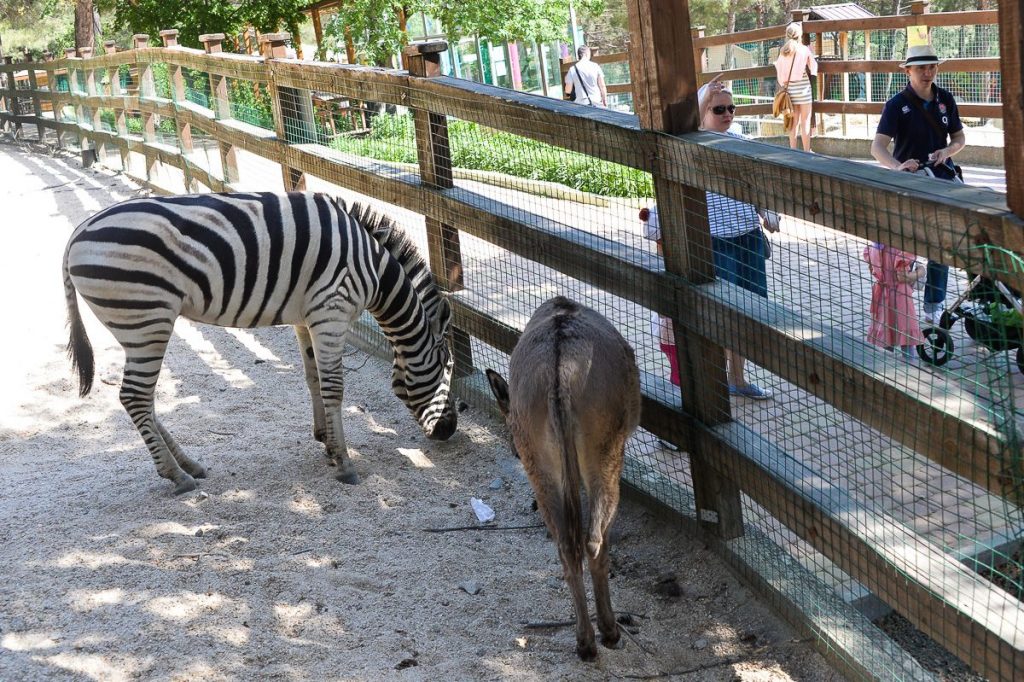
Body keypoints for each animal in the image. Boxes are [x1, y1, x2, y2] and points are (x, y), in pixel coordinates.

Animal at [65, 191, 460, 493]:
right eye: (448, 368)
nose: (450, 431)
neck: (376, 271)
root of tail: (76, 234)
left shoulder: (307, 318)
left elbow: (313, 378)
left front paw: (325, 440)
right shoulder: (331, 311)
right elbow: (334, 387)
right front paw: (345, 462)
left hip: (137, 327)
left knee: (142, 400)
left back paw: (188, 464)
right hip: (147, 319)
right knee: (135, 397)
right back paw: (176, 475)